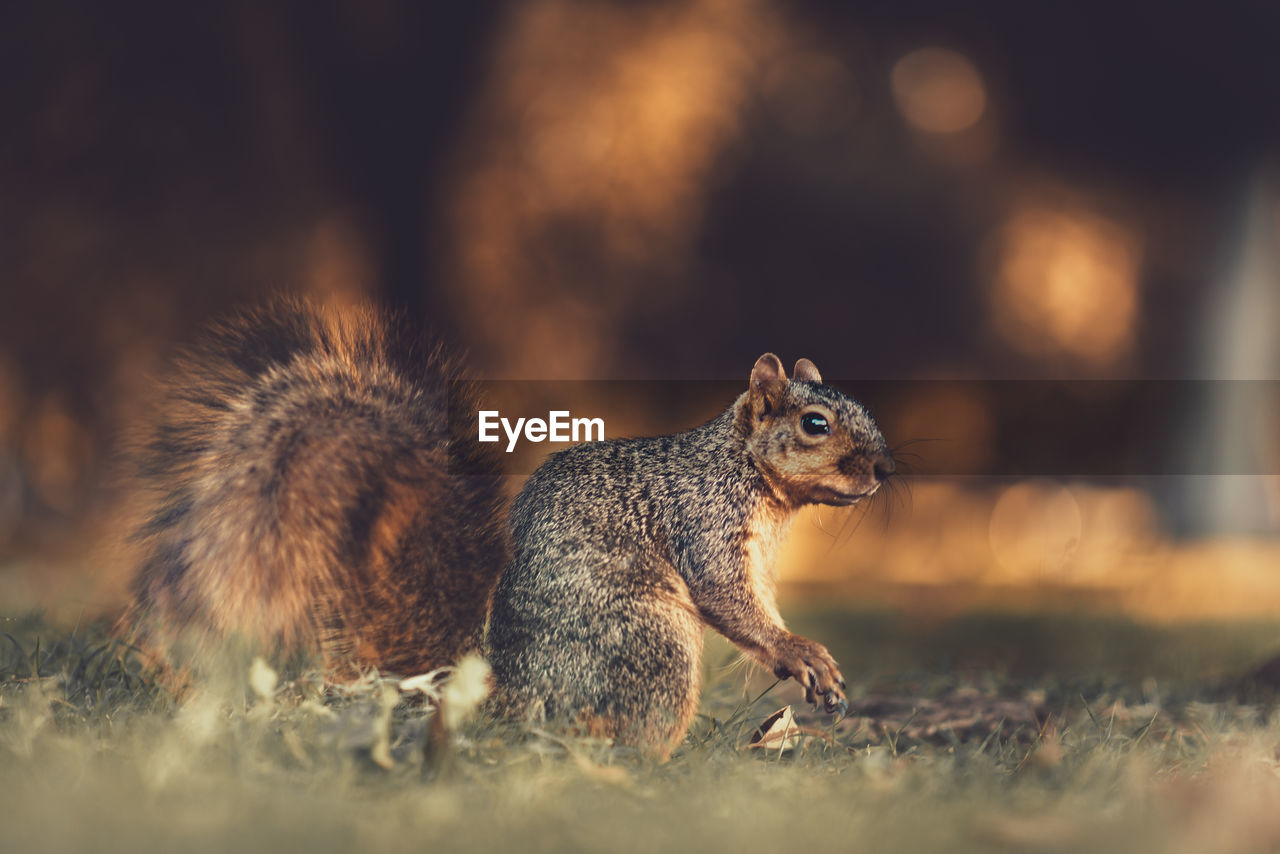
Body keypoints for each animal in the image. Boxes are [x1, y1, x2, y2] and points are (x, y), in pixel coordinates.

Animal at [124, 299, 896, 752]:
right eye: (815, 423)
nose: (885, 469)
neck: (749, 478)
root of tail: (508, 692)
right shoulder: (703, 520)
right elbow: (731, 601)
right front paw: (801, 655)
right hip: (652, 641)